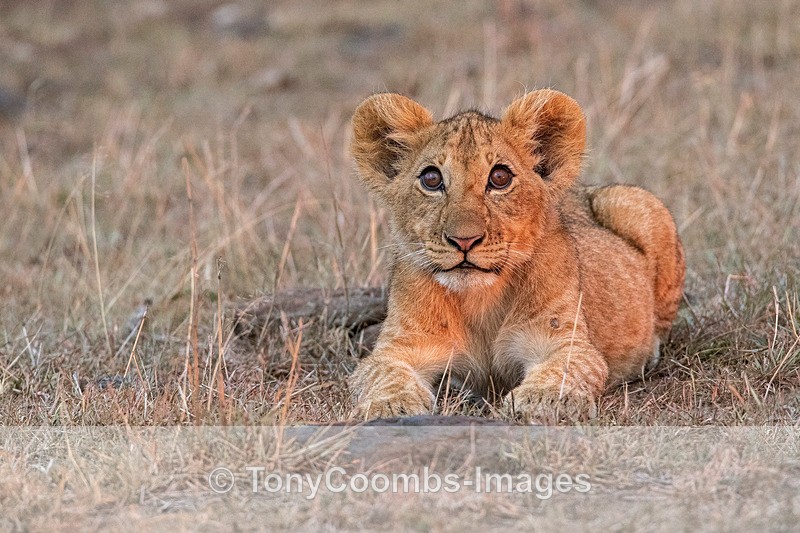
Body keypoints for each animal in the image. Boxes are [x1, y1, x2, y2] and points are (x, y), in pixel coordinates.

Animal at [347, 89, 685, 421]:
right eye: (431, 179)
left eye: (499, 178)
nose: (464, 240)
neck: (479, 300)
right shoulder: (399, 345)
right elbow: (383, 372)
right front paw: (391, 405)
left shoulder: (565, 340)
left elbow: (564, 369)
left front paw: (541, 401)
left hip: (636, 203)